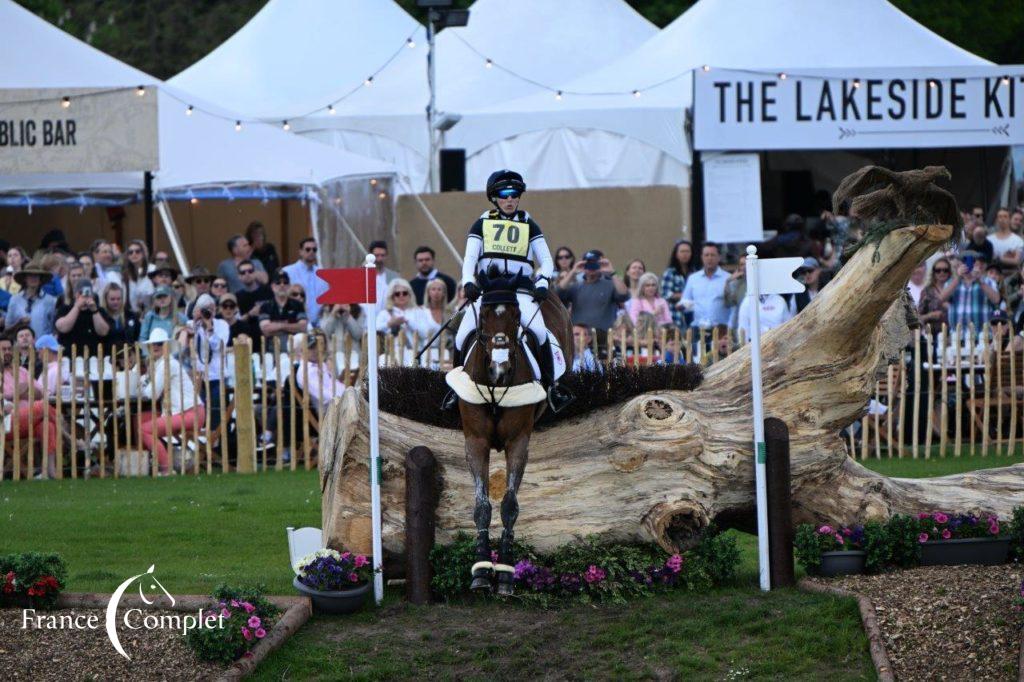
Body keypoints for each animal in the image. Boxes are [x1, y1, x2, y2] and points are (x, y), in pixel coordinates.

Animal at [458, 274, 573, 593]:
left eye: (516, 316)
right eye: (484, 316)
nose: (500, 368)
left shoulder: (518, 442)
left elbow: (509, 505)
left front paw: (506, 574)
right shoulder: (475, 442)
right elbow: (482, 505)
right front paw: (481, 571)